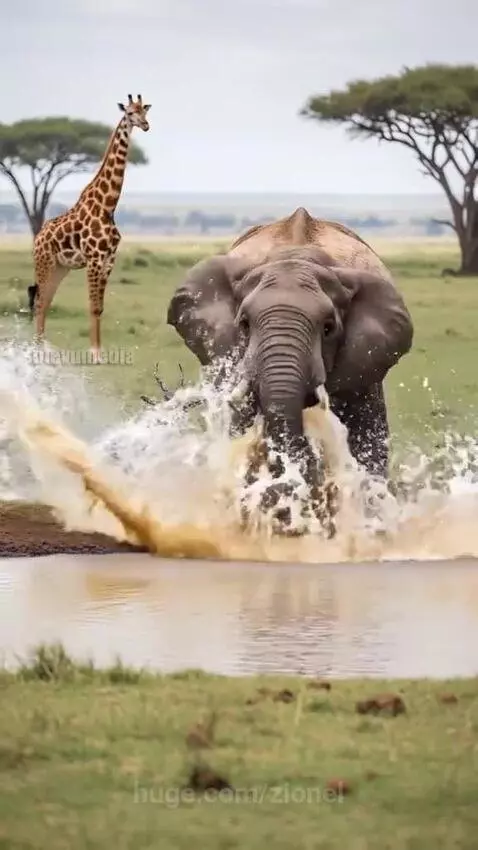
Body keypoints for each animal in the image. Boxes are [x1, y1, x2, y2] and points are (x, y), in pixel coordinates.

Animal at [164, 208, 413, 531]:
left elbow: (367, 440)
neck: (295, 256)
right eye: (244, 324)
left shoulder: (364, 365)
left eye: (328, 329)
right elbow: (243, 431)